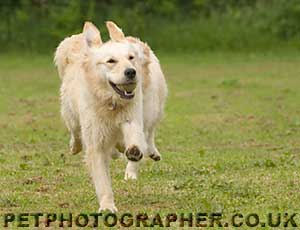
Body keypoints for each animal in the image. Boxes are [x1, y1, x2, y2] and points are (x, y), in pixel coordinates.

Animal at [53, 22, 166, 212]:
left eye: (131, 57)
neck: (111, 102)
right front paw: (107, 206)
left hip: (153, 108)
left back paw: (144, 154)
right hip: (70, 113)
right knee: (75, 132)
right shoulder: (95, 142)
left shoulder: (132, 118)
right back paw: (77, 146)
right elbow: (102, 180)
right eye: (111, 61)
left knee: (149, 133)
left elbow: (136, 139)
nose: (131, 72)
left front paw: (133, 154)